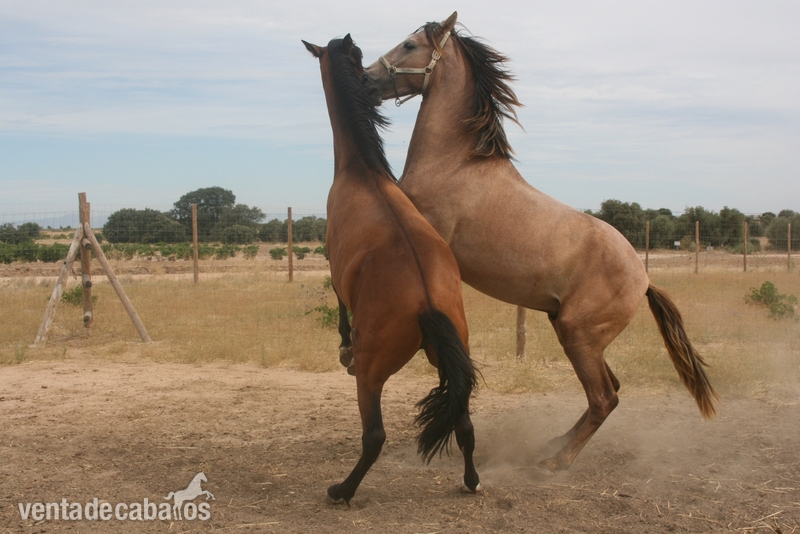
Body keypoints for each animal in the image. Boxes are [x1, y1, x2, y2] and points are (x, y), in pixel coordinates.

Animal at [302, 34, 480, 505]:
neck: (362, 171)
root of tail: (428, 303)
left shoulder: (336, 268)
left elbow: (339, 308)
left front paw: (343, 345)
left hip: (371, 374)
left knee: (374, 437)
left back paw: (341, 490)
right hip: (450, 360)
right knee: (465, 425)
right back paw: (472, 480)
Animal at [356, 12, 718, 473]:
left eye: (408, 45)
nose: (366, 80)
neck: (454, 164)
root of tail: (644, 278)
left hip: (579, 334)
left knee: (605, 397)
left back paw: (555, 461)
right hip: (575, 333)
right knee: (610, 390)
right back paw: (553, 444)